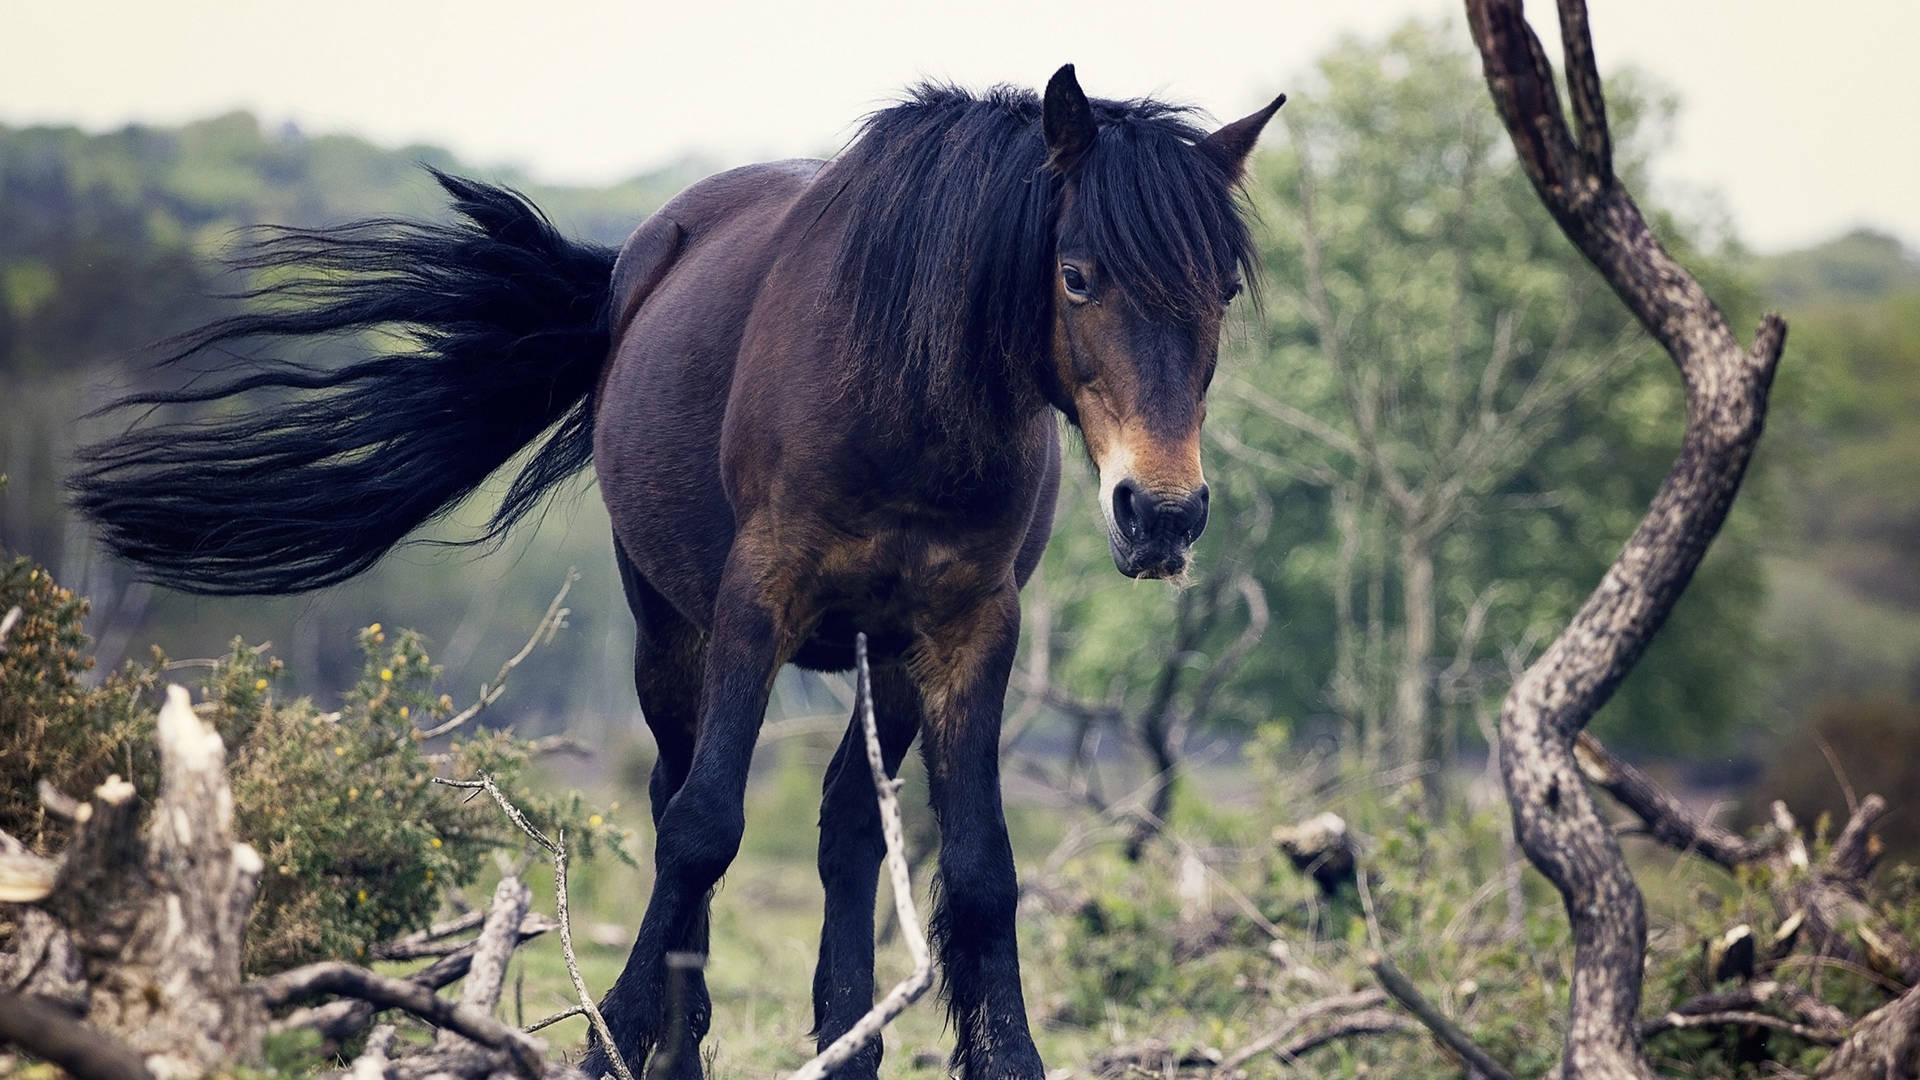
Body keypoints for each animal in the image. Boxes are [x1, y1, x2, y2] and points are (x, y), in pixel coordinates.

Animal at [67, 69, 1282, 1076]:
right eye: (1076, 275)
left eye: (1221, 291)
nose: (1162, 514)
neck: (904, 398)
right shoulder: (756, 604)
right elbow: (703, 828)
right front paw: (615, 1039)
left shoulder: (970, 627)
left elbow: (981, 869)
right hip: (670, 628)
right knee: (676, 798)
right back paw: (679, 1042)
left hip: (880, 656)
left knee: (847, 824)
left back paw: (844, 1042)